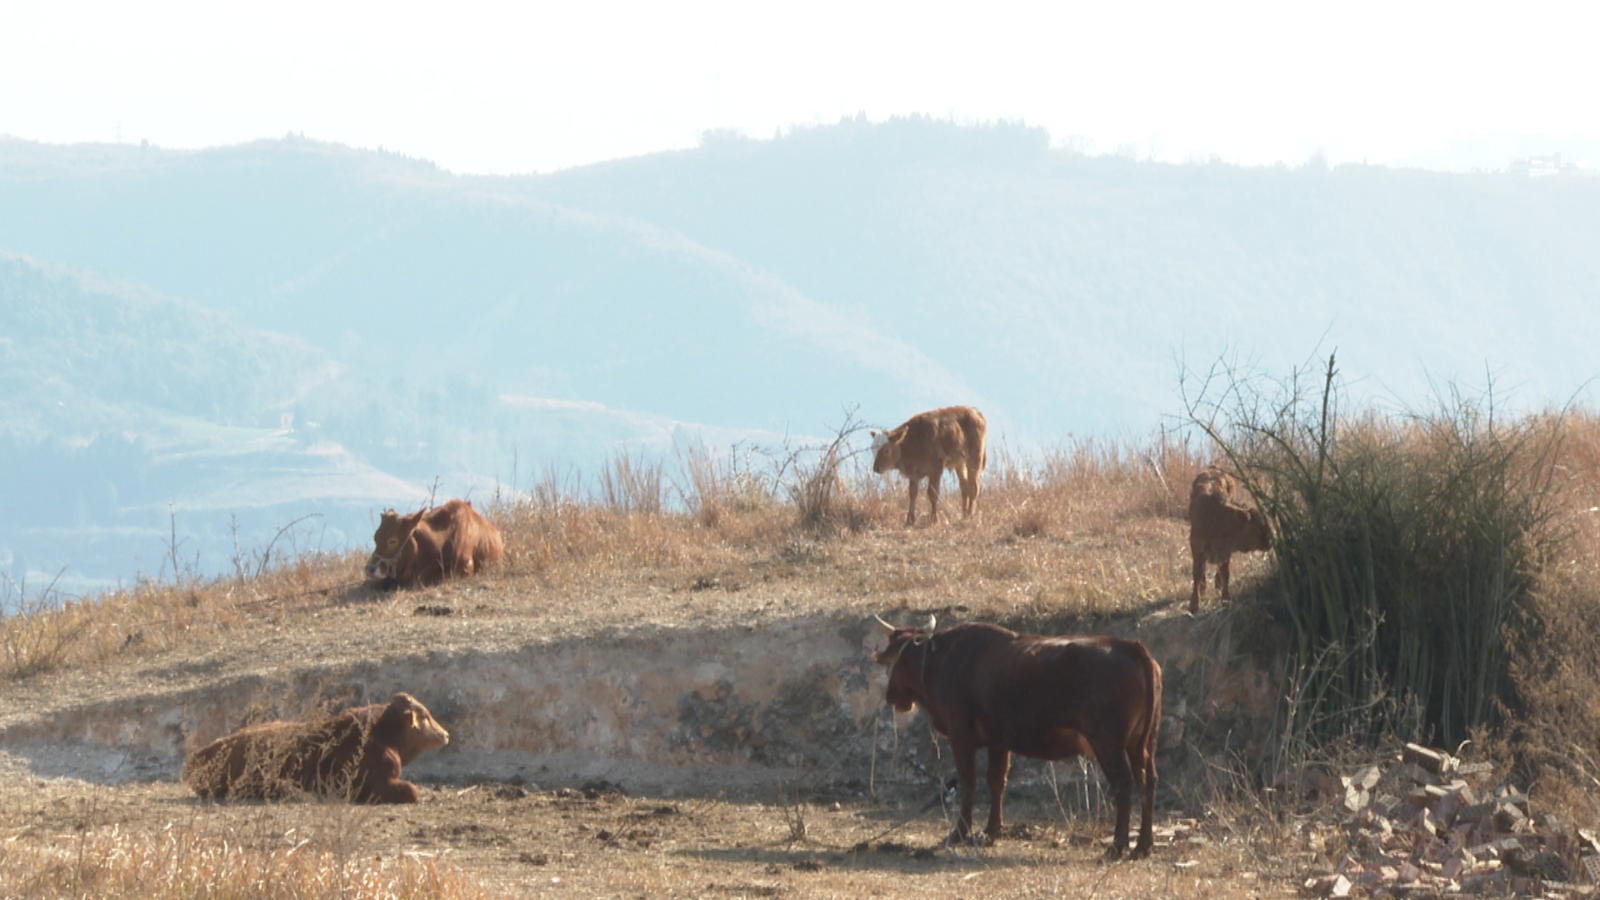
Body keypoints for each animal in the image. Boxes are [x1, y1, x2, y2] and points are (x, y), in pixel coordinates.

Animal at [876, 608, 1164, 851]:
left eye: (891, 660)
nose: (889, 695)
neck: (943, 660)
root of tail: (1130, 646)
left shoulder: (961, 738)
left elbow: (969, 782)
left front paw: (959, 833)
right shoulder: (999, 742)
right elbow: (996, 782)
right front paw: (991, 830)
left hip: (1108, 743)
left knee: (1123, 785)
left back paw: (1117, 846)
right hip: (1142, 743)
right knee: (1147, 781)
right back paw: (1143, 846)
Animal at [1190, 464, 1273, 611]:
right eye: (1259, 527)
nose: (1269, 542)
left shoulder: (1225, 550)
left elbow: (1225, 573)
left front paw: (1225, 598)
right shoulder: (1196, 545)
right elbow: (1197, 572)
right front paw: (1194, 604)